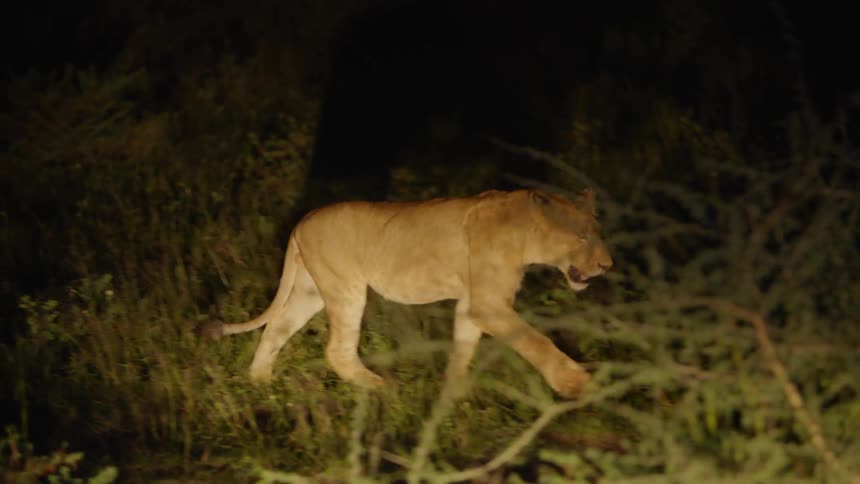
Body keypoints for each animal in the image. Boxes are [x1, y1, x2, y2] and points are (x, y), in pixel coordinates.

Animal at [202, 189, 612, 398]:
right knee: (337, 349)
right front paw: (578, 384)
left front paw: (452, 397)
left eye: (597, 232)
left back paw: (260, 383)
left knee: (277, 328)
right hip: (346, 288)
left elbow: (464, 347)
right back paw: (380, 388)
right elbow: (534, 340)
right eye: (581, 236)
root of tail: (300, 222)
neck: (526, 231)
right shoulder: (489, 305)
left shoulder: (472, 304)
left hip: (310, 290)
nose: (607, 265)